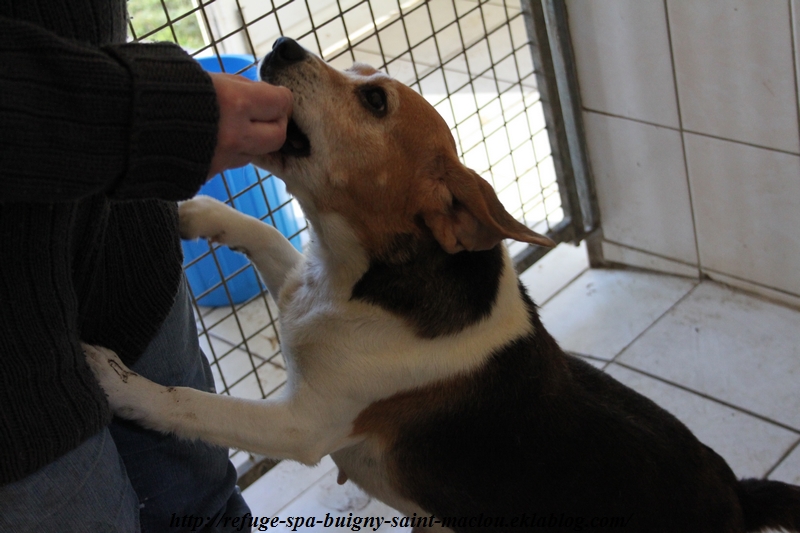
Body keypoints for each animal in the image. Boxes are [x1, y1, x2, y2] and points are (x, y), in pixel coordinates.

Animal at [83, 38, 800, 532]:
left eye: (375, 100)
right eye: (359, 75)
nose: (284, 44)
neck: (354, 281)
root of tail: (739, 494)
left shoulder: (303, 424)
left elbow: (191, 406)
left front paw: (116, 382)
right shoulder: (302, 287)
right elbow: (263, 237)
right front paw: (194, 213)